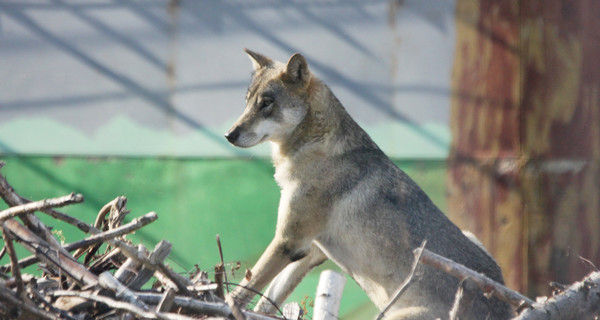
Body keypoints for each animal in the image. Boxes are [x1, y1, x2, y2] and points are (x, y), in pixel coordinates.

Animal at [223, 48, 512, 318]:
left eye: (266, 104)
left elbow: (243, 290)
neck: (316, 147)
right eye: (248, 103)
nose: (229, 134)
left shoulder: (288, 241)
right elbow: (267, 299)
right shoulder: (309, 252)